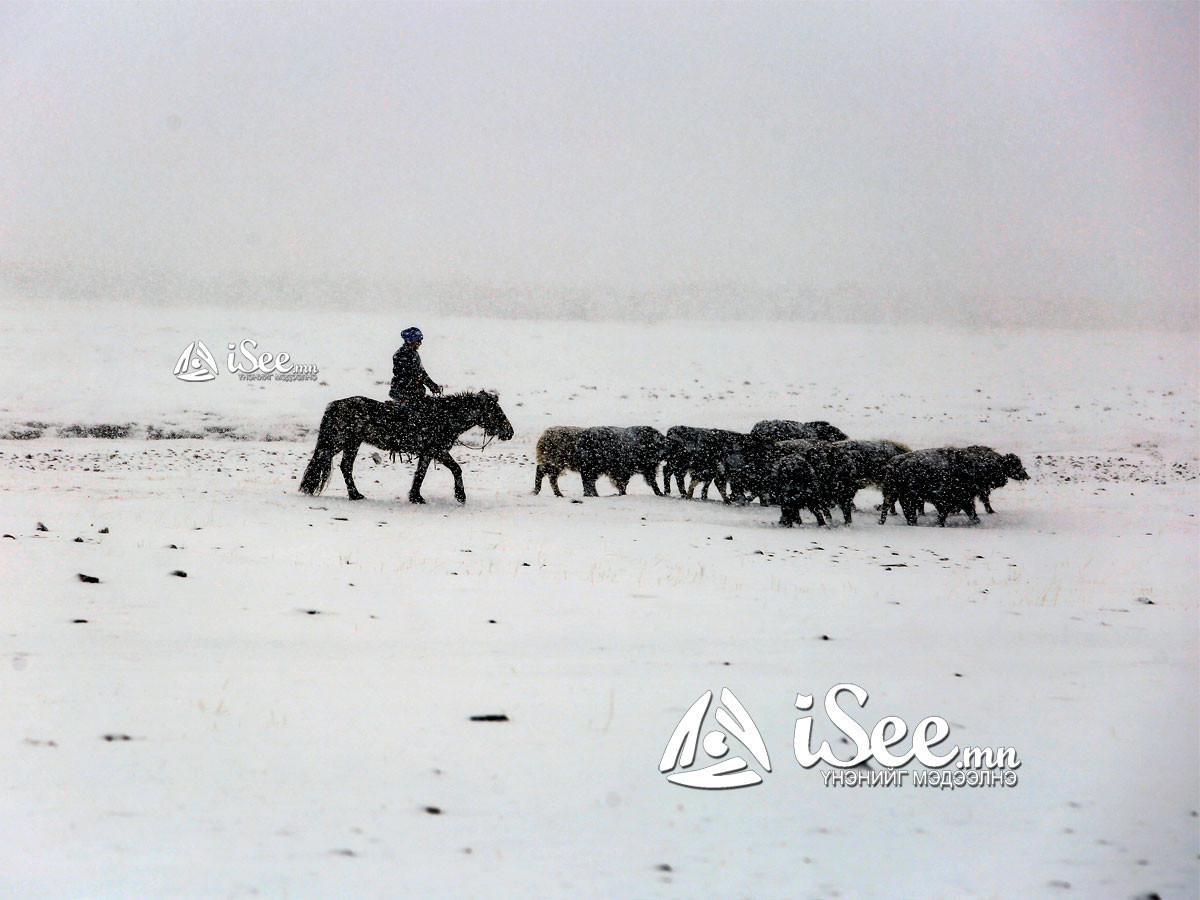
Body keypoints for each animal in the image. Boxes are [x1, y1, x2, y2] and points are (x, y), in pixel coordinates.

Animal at [297, 393, 513, 508]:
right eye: (496, 411)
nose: (510, 432)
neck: (444, 416)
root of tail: (335, 405)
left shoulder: (428, 452)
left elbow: (422, 474)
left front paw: (415, 496)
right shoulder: (436, 449)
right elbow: (454, 469)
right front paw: (460, 496)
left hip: (351, 443)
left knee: (343, 466)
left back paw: (354, 494)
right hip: (340, 442)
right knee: (326, 460)